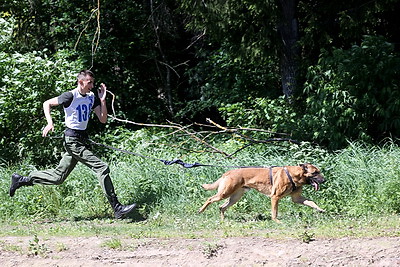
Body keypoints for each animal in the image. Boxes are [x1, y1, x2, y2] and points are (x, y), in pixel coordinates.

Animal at [198, 163, 326, 224]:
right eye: (315, 173)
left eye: (319, 171)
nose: (324, 180)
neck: (294, 175)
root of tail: (228, 172)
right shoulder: (275, 197)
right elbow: (274, 212)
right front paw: (276, 221)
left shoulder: (297, 198)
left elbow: (311, 202)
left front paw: (320, 209)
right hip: (225, 193)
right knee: (210, 199)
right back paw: (201, 210)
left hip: (235, 197)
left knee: (221, 207)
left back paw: (223, 220)